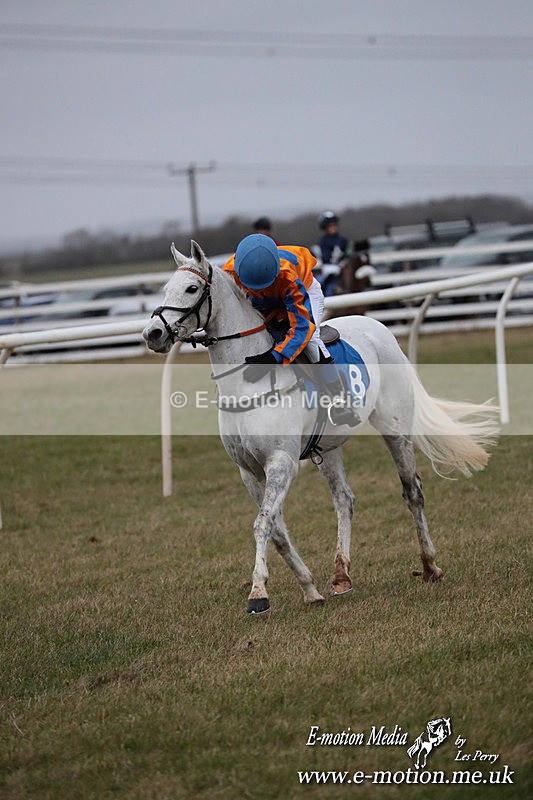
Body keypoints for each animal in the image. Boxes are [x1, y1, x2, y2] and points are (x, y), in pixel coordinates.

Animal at [143, 241, 498, 615]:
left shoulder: (281, 463)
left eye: (191, 288)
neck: (246, 380)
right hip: (327, 448)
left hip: (395, 427)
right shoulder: (248, 471)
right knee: (345, 498)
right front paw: (309, 588)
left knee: (412, 490)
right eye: (165, 288)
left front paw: (258, 593)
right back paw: (341, 575)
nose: (153, 334)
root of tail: (380, 327)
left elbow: (263, 523)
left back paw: (429, 566)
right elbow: (276, 529)